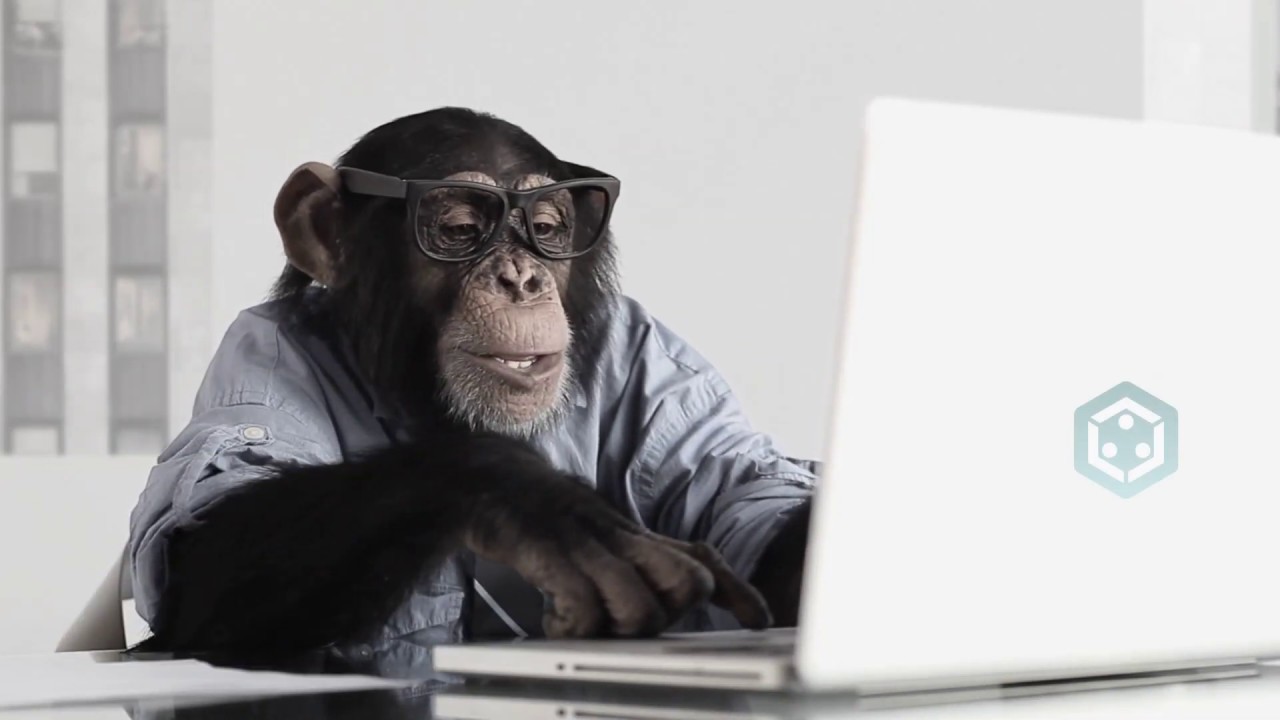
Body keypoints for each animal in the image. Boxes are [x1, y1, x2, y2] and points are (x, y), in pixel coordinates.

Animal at [126, 107, 817, 659]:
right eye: (461, 229)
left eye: (547, 228)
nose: (521, 279)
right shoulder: (258, 361)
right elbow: (197, 549)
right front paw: (539, 503)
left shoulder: (663, 358)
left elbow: (752, 502)